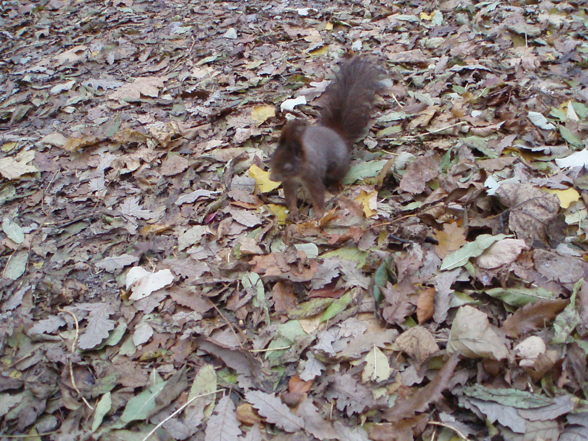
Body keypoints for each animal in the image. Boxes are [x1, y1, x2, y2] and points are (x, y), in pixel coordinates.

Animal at [268, 56, 384, 218]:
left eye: (287, 166)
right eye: (272, 159)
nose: (271, 178)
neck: (298, 172)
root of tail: (337, 134)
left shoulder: (313, 176)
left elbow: (317, 194)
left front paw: (319, 213)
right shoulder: (289, 182)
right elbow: (290, 196)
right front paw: (293, 212)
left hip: (337, 166)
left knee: (338, 175)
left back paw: (335, 186)